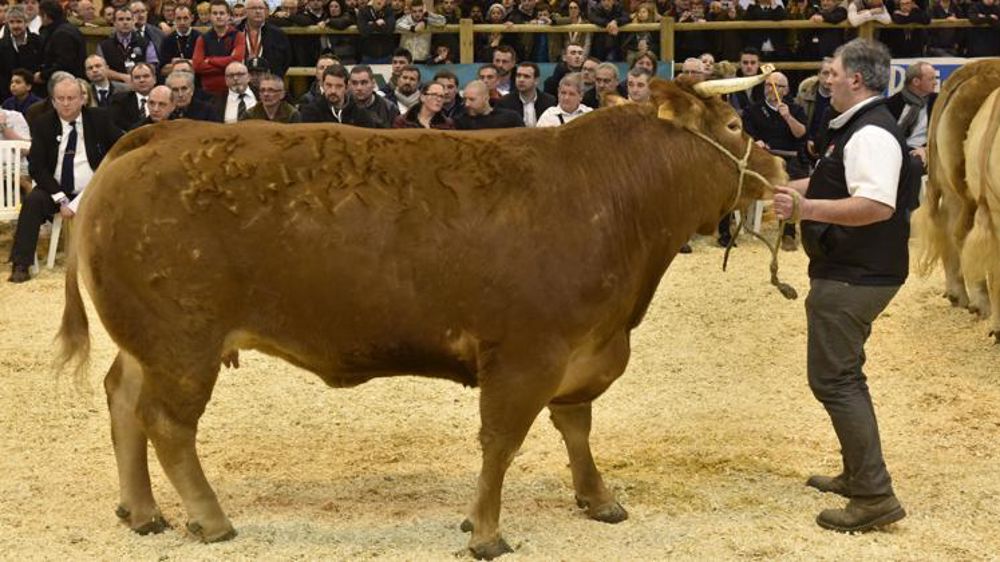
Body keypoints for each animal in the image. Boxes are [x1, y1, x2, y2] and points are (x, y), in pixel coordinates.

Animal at [56, 75, 787, 559]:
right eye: (731, 127)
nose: (781, 166)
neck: (607, 197)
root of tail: (165, 129)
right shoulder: (524, 357)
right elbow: (501, 441)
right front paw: (487, 531)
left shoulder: (581, 351)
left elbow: (575, 428)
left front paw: (598, 498)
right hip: (183, 346)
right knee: (167, 425)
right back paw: (209, 519)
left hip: (150, 343)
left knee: (123, 401)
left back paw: (142, 511)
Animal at [915, 59, 1000, 334]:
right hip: (968, 191)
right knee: (963, 234)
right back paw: (981, 304)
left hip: (949, 184)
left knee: (948, 227)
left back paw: (958, 294)